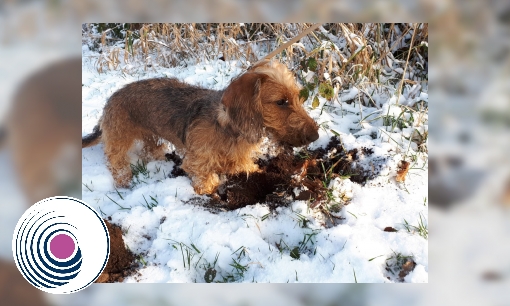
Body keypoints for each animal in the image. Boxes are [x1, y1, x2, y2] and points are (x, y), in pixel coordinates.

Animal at [81, 59, 316, 194]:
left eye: (297, 97)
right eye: (281, 102)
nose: (315, 135)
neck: (229, 127)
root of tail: (111, 99)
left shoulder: (237, 158)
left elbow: (245, 167)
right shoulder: (198, 161)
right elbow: (205, 178)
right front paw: (209, 191)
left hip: (150, 134)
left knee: (150, 149)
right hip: (119, 138)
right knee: (115, 160)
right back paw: (123, 180)